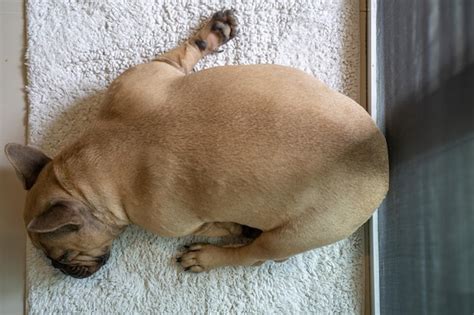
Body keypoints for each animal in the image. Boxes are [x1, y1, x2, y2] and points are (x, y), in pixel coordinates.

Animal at [4, 10, 388, 278]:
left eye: (61, 256)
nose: (61, 271)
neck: (94, 164)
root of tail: (381, 171)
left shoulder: (176, 222)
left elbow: (215, 226)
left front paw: (233, 229)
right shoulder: (156, 69)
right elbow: (188, 51)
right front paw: (214, 33)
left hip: (294, 234)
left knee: (253, 254)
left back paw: (207, 256)